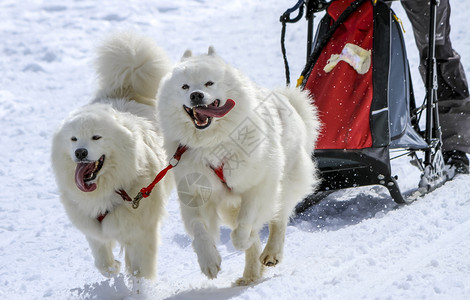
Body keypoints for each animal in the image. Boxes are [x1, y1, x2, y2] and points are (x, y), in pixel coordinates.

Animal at [51, 32, 174, 282]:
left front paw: (140, 284)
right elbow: (101, 259)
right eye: (74, 139)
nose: (80, 152)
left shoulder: (142, 230)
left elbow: (141, 269)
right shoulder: (92, 227)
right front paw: (112, 268)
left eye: (96, 137)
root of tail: (126, 87)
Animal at [156, 47, 322, 284]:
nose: (196, 95)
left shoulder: (259, 184)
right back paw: (250, 275)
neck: (212, 143)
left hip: (286, 182)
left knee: (279, 218)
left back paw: (271, 253)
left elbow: (246, 222)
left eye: (209, 83)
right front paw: (209, 262)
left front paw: (242, 238)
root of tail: (288, 101)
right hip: (229, 206)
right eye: (185, 86)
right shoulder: (195, 193)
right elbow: (199, 229)